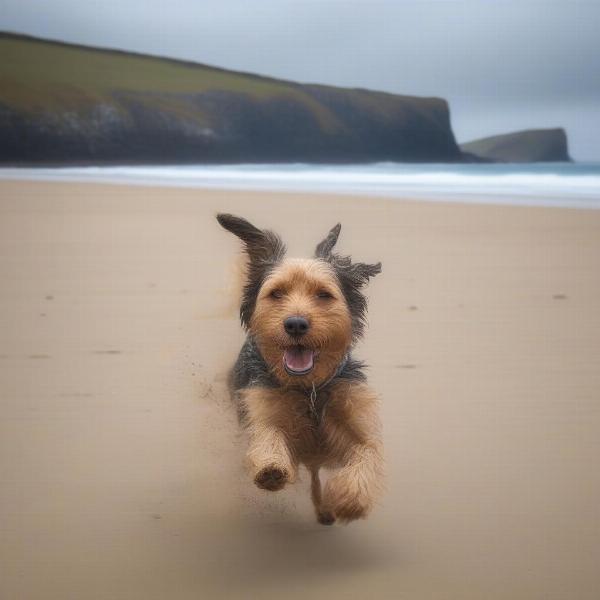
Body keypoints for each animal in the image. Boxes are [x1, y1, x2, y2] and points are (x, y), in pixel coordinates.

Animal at [218, 213, 382, 524]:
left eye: (324, 295)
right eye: (276, 293)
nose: (295, 324)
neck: (309, 388)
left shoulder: (352, 415)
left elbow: (366, 451)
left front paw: (351, 499)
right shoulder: (262, 404)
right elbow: (267, 432)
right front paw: (271, 467)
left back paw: (325, 509)